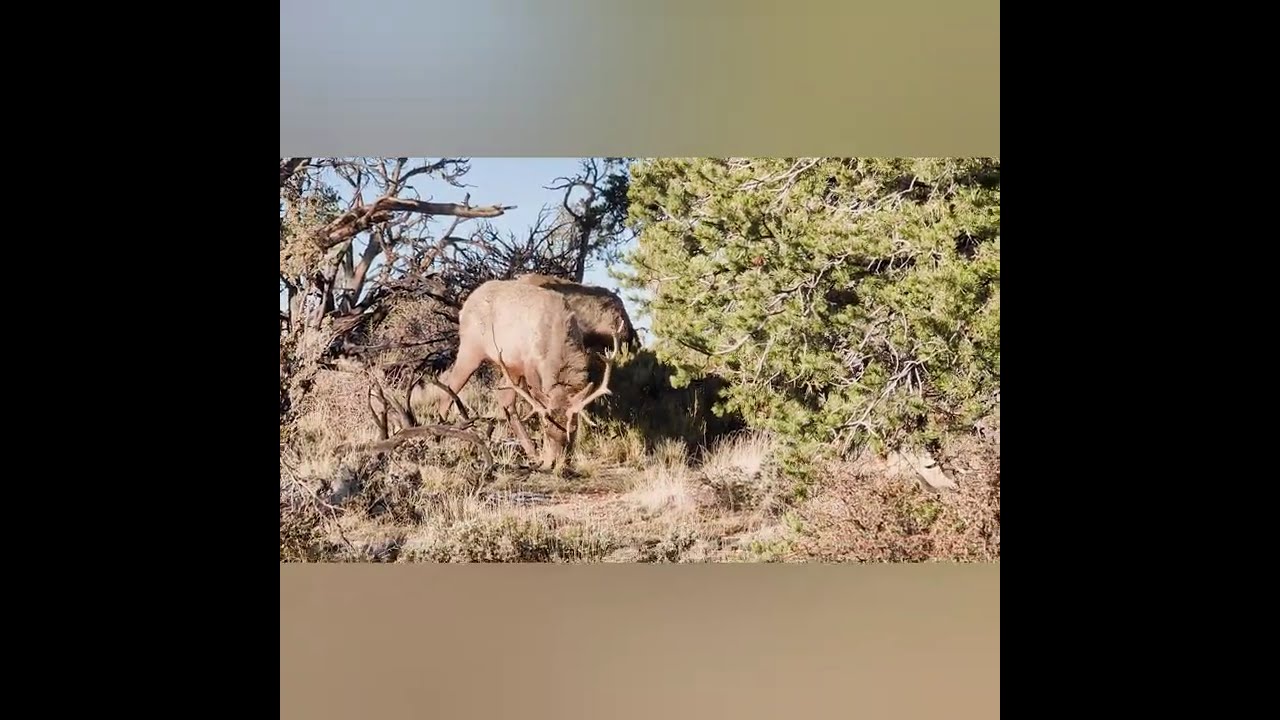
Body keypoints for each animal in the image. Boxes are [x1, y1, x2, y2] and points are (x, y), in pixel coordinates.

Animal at [428, 279, 621, 472]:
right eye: (545, 429)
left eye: (573, 429)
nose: (555, 462)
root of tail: (465, 306)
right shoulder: (529, 366)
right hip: (471, 348)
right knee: (449, 391)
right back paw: (437, 438)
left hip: (509, 366)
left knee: (504, 399)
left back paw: (530, 450)